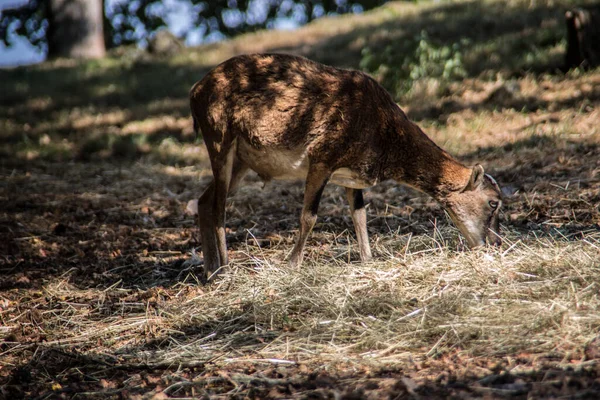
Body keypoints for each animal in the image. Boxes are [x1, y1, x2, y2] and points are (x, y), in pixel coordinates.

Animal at [189, 53, 502, 278]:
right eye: (493, 202)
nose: (496, 243)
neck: (384, 136)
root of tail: (194, 93)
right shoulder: (322, 156)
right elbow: (309, 216)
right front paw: (292, 264)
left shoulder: (352, 175)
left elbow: (360, 215)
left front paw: (368, 259)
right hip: (219, 137)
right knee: (218, 207)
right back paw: (225, 269)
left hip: (241, 160)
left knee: (204, 201)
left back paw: (209, 270)